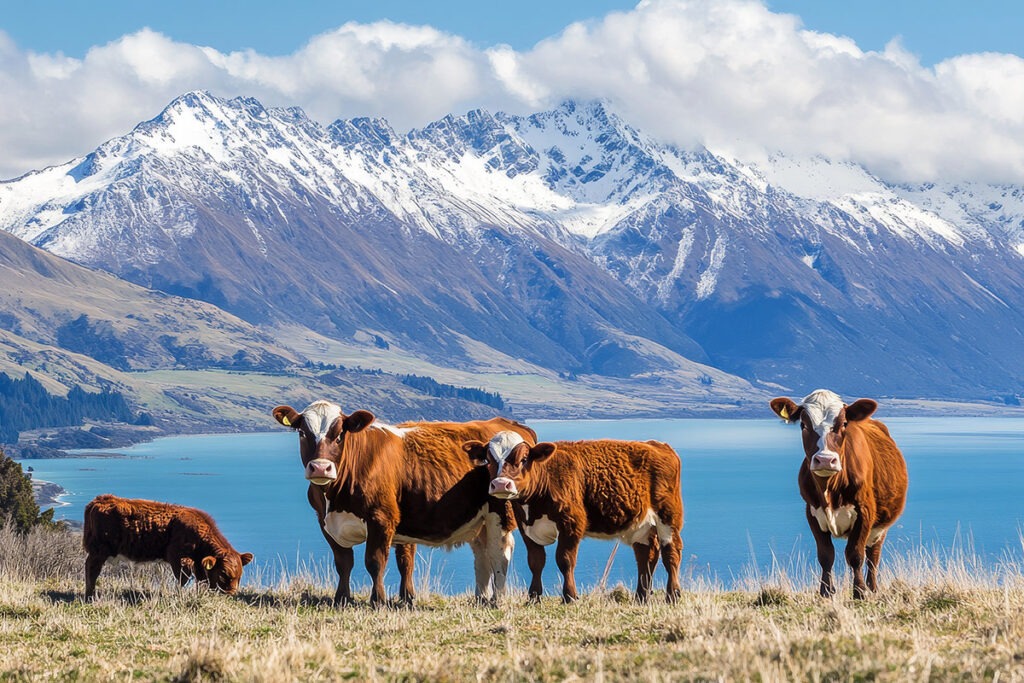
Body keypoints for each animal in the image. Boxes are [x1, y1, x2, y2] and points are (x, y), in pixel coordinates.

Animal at [83, 494, 253, 600]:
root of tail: (101, 499)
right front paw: (178, 596)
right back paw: (90, 596)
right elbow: (183, 580)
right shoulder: (178, 557)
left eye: (240, 575)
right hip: (99, 550)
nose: (231, 594)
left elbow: (201, 580)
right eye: (223, 574)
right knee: (92, 570)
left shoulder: (198, 563)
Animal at [273, 401, 537, 607]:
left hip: (500, 510)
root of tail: (508, 423)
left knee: (499, 553)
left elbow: (375, 561)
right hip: (479, 518)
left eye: (339, 435)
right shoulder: (326, 522)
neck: (334, 498)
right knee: (482, 553)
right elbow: (345, 563)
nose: (320, 468)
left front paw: (378, 600)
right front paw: (342, 599)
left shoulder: (381, 519)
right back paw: (480, 597)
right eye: (303, 433)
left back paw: (497, 599)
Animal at [462, 432, 684, 603]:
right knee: (646, 555)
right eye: (489, 459)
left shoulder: (571, 523)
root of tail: (657, 445)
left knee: (671, 552)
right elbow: (535, 561)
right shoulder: (526, 528)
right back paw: (641, 597)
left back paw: (672, 595)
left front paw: (569, 596)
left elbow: (565, 560)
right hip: (639, 524)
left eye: (523, 459)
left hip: (669, 516)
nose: (501, 484)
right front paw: (533, 597)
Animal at [770, 389, 908, 599]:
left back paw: (872, 588)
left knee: (873, 556)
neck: (830, 491)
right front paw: (826, 592)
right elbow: (826, 555)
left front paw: (860, 592)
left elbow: (856, 555)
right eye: (803, 425)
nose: (825, 460)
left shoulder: (865, 512)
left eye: (843, 424)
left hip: (881, 526)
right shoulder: (812, 512)